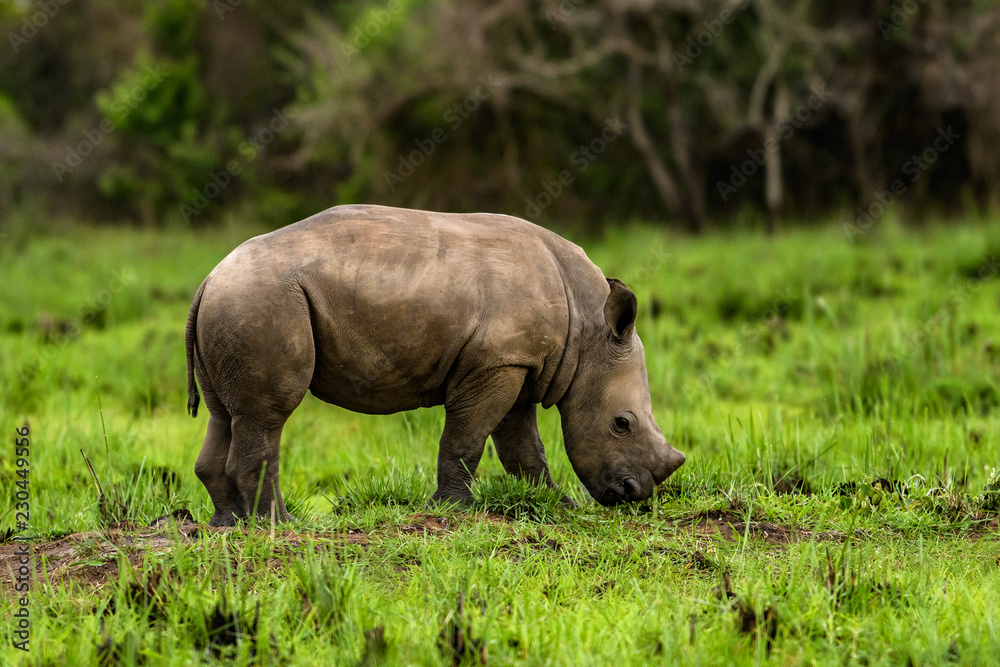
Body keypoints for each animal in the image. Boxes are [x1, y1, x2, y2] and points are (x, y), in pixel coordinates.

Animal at [186, 205, 684, 526]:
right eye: (622, 423)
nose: (634, 495)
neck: (588, 331)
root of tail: (208, 277)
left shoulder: (517, 362)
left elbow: (523, 448)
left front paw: (559, 507)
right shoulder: (496, 363)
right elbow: (468, 437)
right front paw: (454, 510)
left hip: (237, 302)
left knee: (224, 414)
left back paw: (228, 524)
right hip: (263, 299)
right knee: (267, 415)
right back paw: (281, 526)